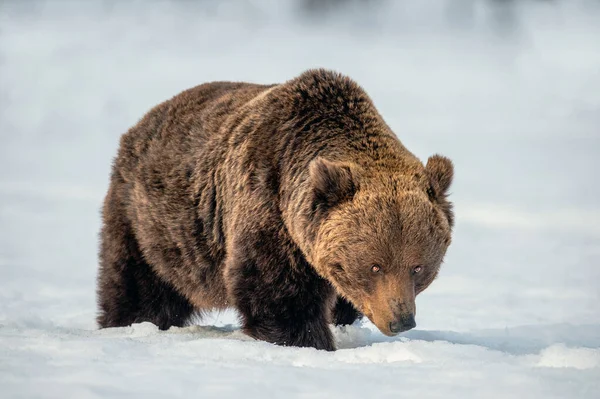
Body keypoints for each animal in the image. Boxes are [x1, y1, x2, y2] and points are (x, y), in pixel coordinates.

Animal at [97, 69, 454, 350]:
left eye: (418, 267)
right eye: (375, 266)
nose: (400, 320)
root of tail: (143, 122)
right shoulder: (266, 206)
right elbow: (276, 291)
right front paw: (310, 340)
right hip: (150, 222)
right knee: (138, 285)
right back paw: (130, 323)